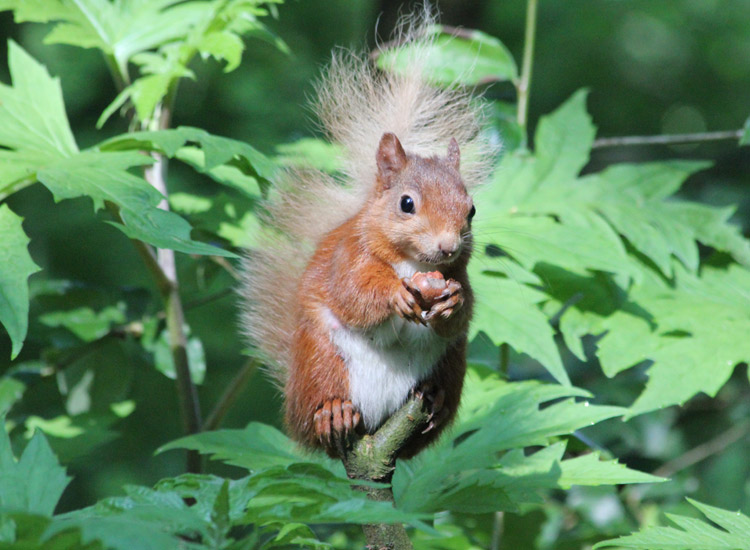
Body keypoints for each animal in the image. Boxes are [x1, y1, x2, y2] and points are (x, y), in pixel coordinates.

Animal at [240, 14, 494, 459]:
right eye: (406, 204)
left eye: (472, 210)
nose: (448, 246)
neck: (412, 263)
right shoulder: (348, 256)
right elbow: (354, 292)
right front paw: (394, 294)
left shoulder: (457, 275)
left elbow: (463, 310)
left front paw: (453, 301)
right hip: (320, 356)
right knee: (320, 403)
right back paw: (332, 413)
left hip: (451, 362)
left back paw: (436, 401)